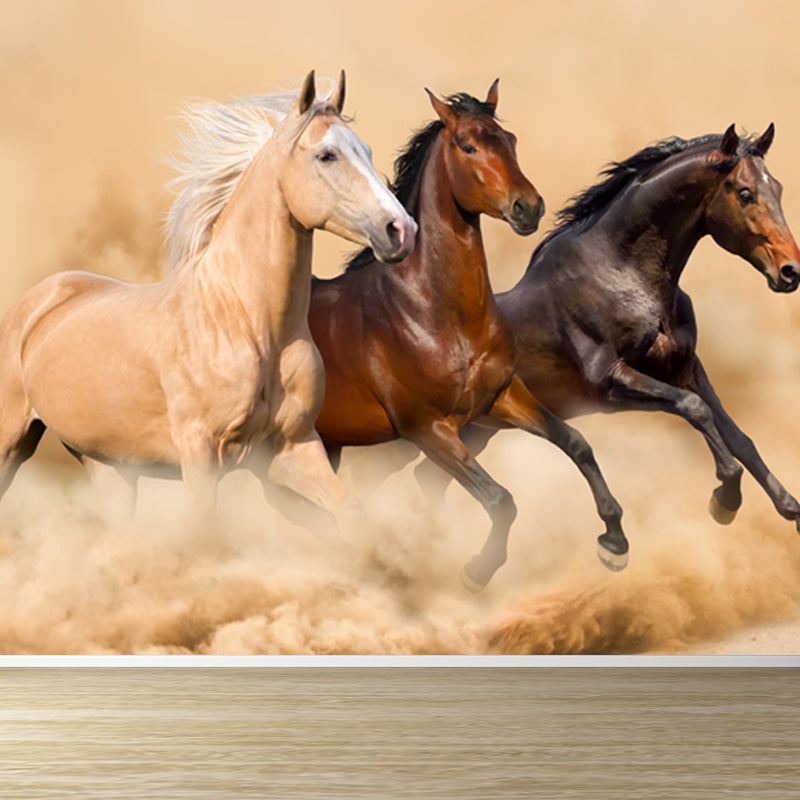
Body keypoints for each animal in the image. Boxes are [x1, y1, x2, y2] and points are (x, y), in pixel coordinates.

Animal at [0, 71, 416, 534]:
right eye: (326, 155)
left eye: (366, 150)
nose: (401, 230)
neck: (249, 325)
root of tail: (38, 301)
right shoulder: (200, 452)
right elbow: (205, 529)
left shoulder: (292, 448)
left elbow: (350, 510)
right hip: (11, 443)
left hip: (108, 466)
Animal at [306, 81, 629, 591]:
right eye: (468, 145)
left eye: (510, 140)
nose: (527, 206)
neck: (436, 315)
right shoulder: (427, 429)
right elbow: (500, 499)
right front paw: (477, 569)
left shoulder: (500, 398)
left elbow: (576, 443)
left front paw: (614, 542)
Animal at [418, 123, 800, 565]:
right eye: (745, 193)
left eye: (778, 188)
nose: (790, 272)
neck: (623, 274)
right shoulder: (612, 383)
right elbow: (696, 411)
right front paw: (725, 499)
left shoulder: (685, 369)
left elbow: (739, 438)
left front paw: (790, 508)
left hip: (477, 431)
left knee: (430, 479)